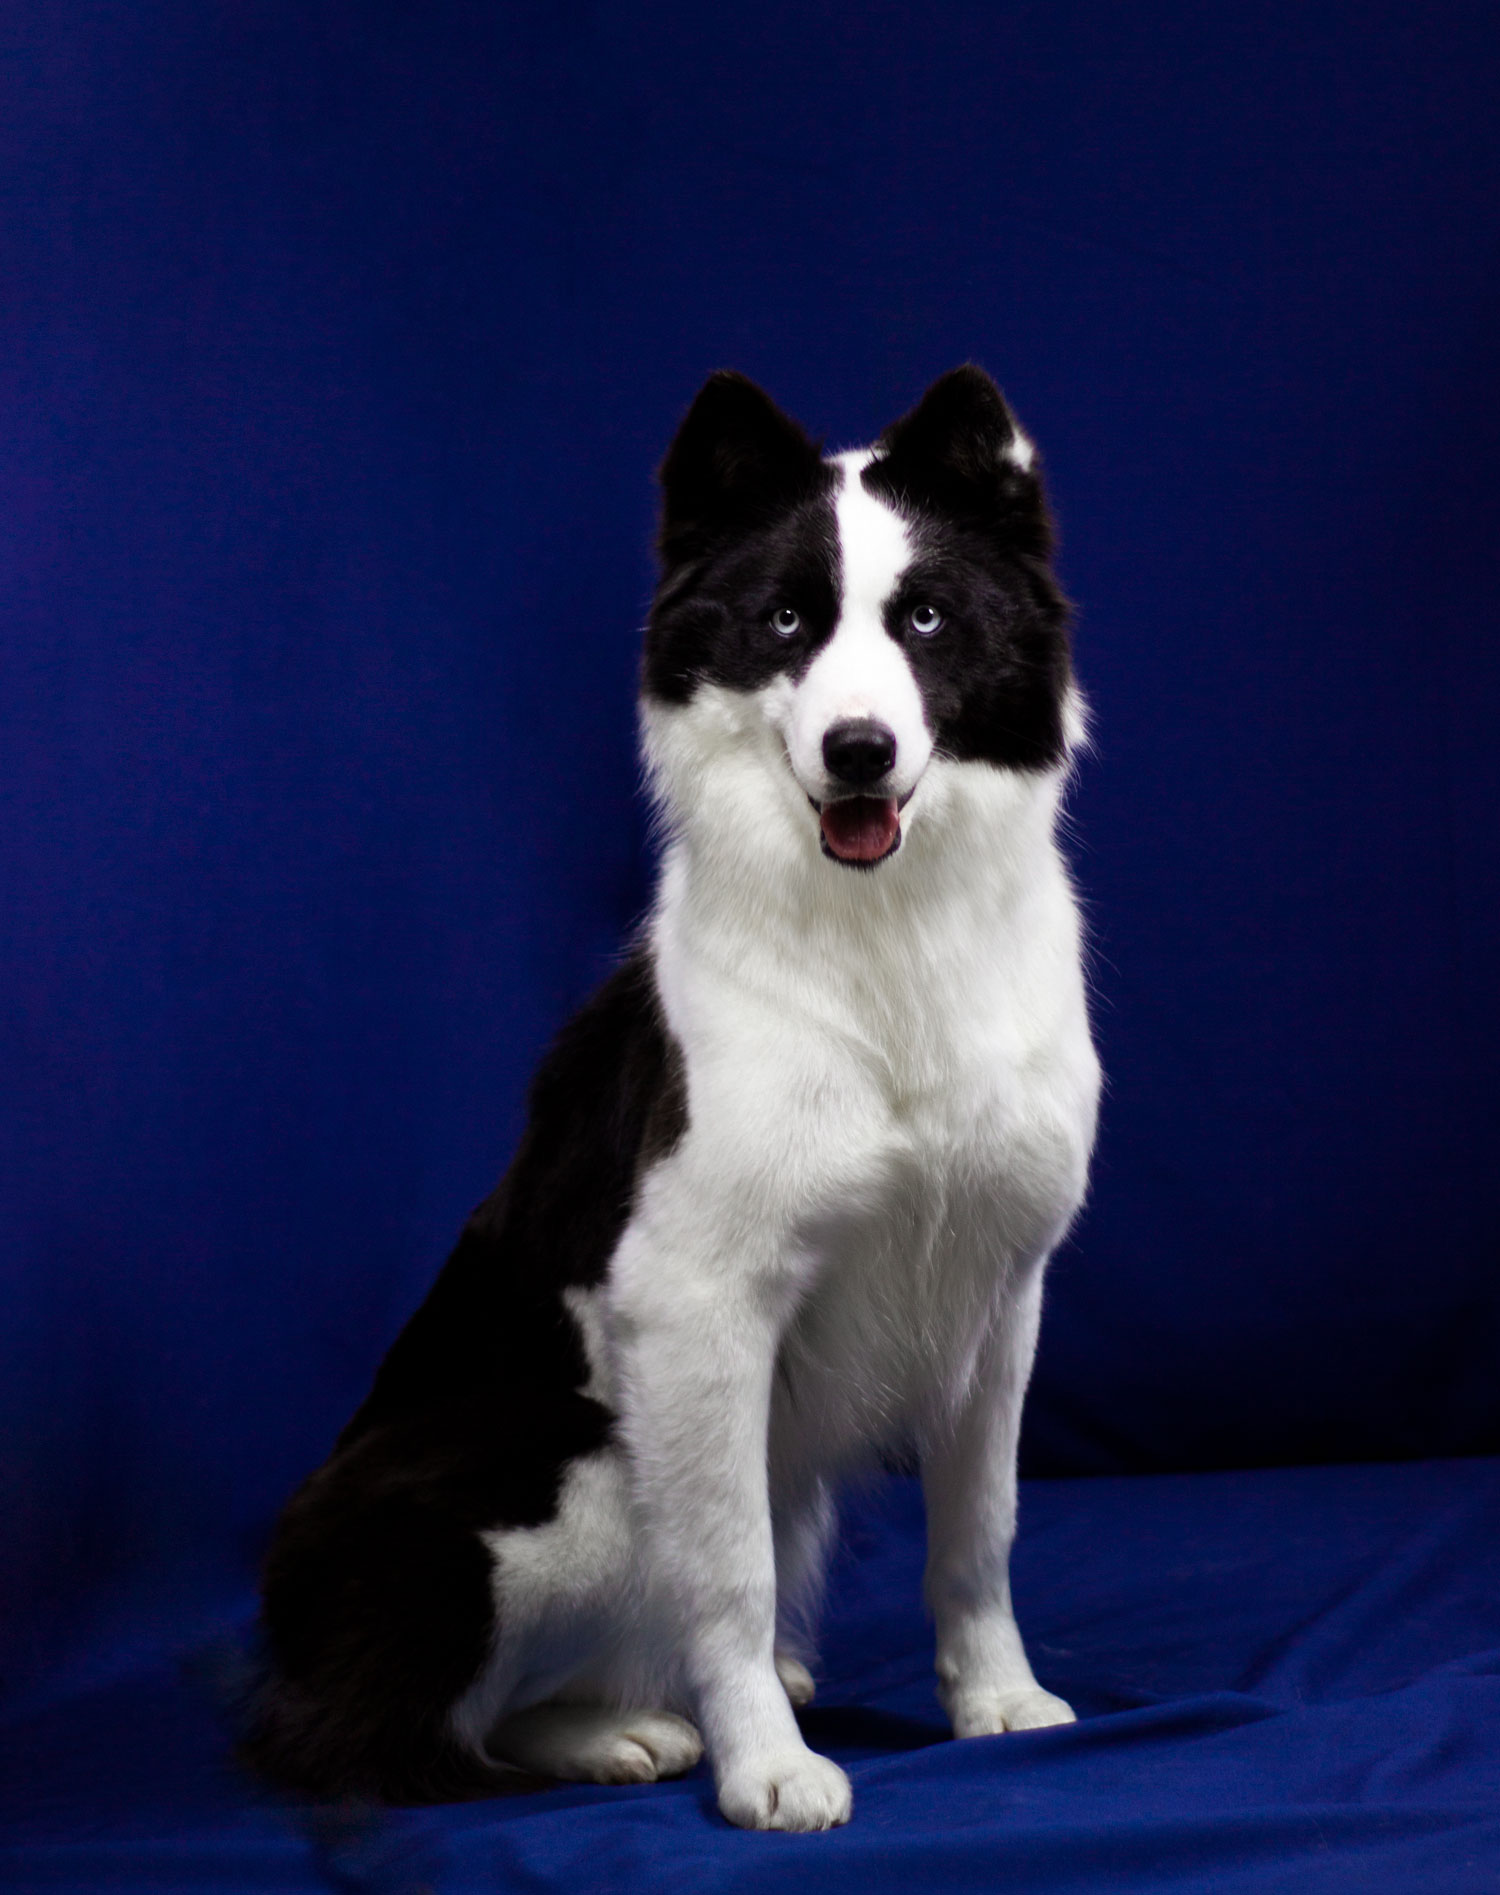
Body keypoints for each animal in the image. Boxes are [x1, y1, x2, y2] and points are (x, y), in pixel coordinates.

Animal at [247, 365, 1100, 1832]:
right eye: (786, 621)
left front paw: (997, 1699)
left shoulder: (1000, 1290)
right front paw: (766, 1765)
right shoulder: (698, 1299)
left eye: (928, 616)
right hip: (566, 1462)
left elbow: (977, 1530)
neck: (884, 938)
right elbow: (729, 1573)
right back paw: (625, 1731)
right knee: (425, 1720)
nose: (859, 750)